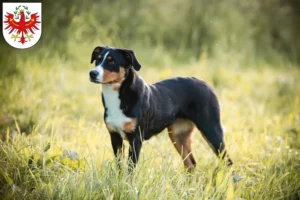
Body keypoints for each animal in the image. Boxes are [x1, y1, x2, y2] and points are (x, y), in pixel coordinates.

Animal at [88, 45, 232, 172]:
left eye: (112, 61)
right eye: (97, 59)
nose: (92, 73)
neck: (117, 96)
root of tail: (206, 84)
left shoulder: (135, 139)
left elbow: (130, 170)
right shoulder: (115, 136)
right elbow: (119, 167)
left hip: (211, 131)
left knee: (228, 162)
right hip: (178, 135)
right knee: (191, 164)